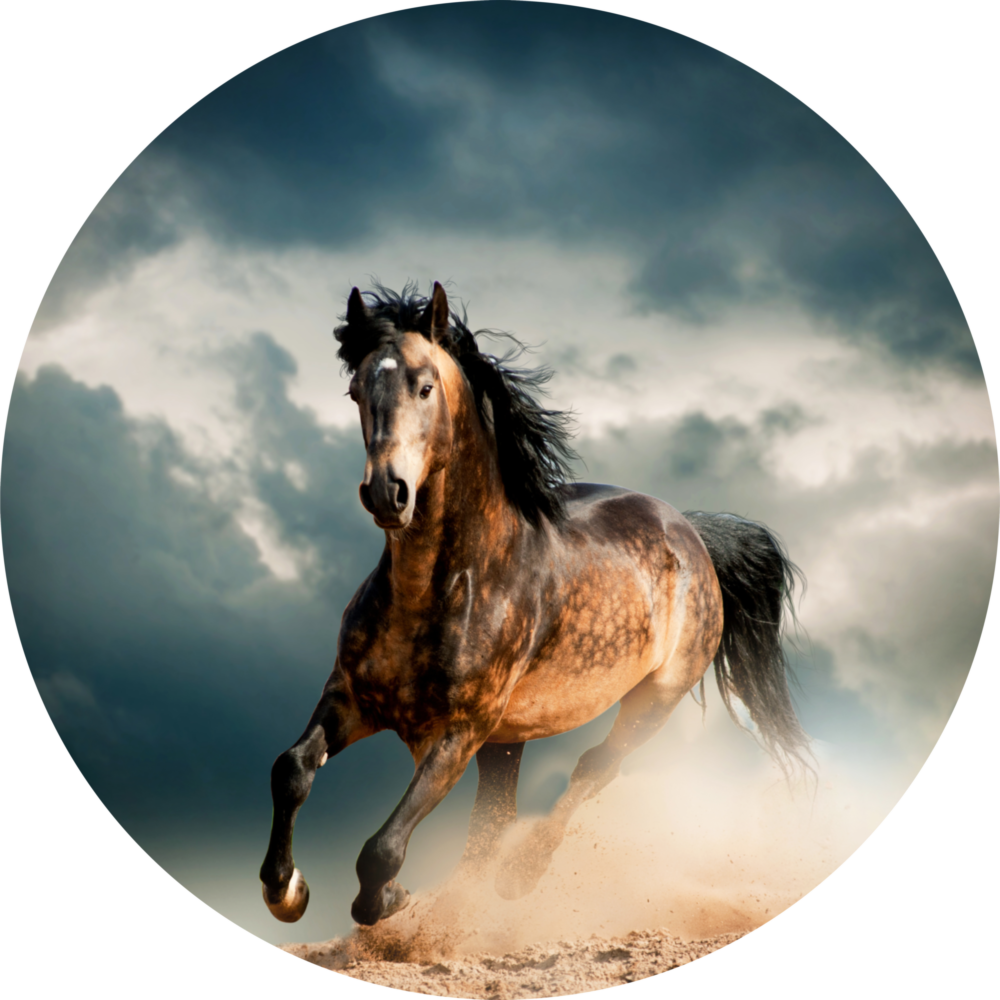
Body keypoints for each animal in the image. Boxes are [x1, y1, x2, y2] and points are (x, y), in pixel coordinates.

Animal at [260, 281, 811, 928]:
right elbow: (291, 769)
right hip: (509, 739)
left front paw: (388, 899)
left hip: (653, 700)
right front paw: (286, 890)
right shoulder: (351, 698)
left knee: (593, 768)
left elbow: (382, 848)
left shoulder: (458, 732)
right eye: (355, 391)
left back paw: (519, 878)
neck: (441, 588)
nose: (386, 493)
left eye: (425, 386)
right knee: (493, 820)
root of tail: (692, 532)